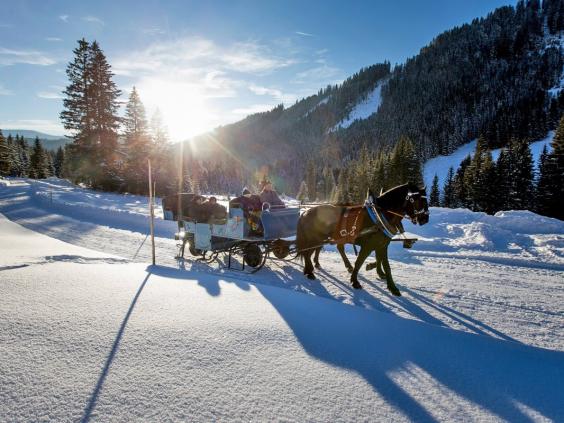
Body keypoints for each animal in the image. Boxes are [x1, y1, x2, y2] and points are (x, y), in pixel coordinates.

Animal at [296, 184, 428, 296]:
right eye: (417, 200)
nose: (425, 219)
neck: (379, 216)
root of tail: (305, 212)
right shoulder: (368, 246)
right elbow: (359, 262)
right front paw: (355, 281)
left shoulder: (382, 245)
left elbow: (386, 265)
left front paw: (392, 287)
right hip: (314, 239)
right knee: (308, 253)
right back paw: (310, 271)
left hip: (320, 239)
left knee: (316, 251)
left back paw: (312, 267)